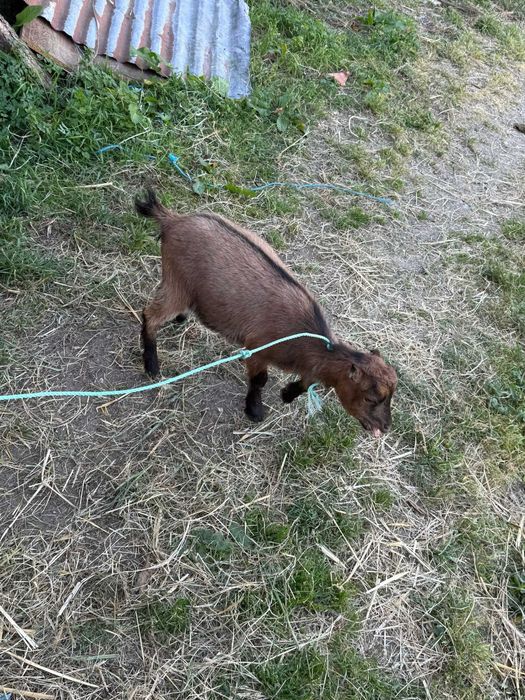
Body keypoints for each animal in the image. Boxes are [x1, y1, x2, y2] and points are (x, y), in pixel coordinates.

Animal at [135, 190, 397, 435]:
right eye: (370, 398)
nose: (384, 427)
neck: (303, 336)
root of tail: (173, 220)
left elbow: (306, 382)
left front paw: (287, 394)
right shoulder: (258, 347)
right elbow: (260, 380)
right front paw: (254, 410)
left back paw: (181, 319)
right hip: (177, 281)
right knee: (150, 314)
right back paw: (152, 365)